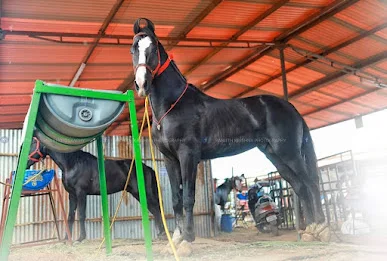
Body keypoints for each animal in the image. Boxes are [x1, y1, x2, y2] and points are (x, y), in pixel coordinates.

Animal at [25, 137, 165, 241]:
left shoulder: (81, 193)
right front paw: (66, 239)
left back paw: (162, 234)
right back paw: (160, 234)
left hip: (143, 193)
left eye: (33, 143)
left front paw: (81, 238)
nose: (24, 162)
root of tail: (148, 168)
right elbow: (71, 215)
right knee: (154, 210)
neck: (73, 164)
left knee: (156, 209)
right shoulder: (72, 194)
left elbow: (81, 214)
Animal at [130, 18, 328, 254]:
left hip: (290, 153)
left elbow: (188, 198)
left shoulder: (188, 156)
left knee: (311, 183)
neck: (173, 105)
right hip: (275, 155)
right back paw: (310, 231)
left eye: (153, 48)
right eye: (133, 49)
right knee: (300, 186)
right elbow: (176, 199)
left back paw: (320, 227)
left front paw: (187, 240)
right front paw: (176, 240)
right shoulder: (170, 160)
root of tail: (291, 107)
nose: (142, 84)